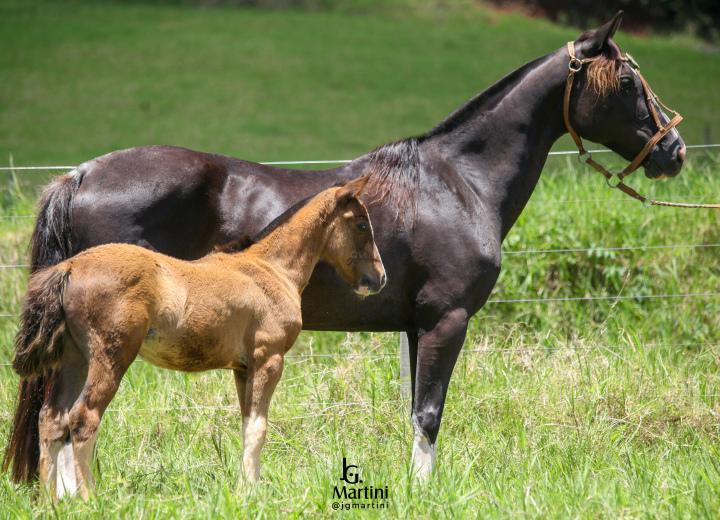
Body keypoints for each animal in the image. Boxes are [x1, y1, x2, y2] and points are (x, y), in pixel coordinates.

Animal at [8, 175, 386, 500]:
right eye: (361, 224)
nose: (379, 278)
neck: (271, 269)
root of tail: (69, 267)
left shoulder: (243, 368)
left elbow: (247, 425)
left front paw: (246, 488)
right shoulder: (269, 358)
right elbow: (260, 427)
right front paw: (250, 491)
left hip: (74, 359)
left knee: (52, 419)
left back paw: (50, 501)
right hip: (111, 357)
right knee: (83, 418)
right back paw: (89, 499)